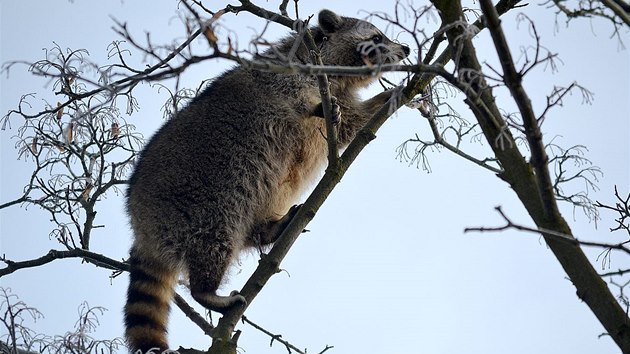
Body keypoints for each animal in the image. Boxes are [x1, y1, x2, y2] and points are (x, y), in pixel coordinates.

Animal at [124, 9, 410, 354]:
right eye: (377, 38)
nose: (407, 49)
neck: (337, 76)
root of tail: (142, 226)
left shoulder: (340, 99)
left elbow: (353, 126)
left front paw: (392, 95)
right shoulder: (284, 73)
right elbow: (297, 99)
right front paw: (318, 106)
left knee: (249, 229)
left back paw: (269, 230)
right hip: (203, 202)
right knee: (217, 236)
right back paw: (207, 291)